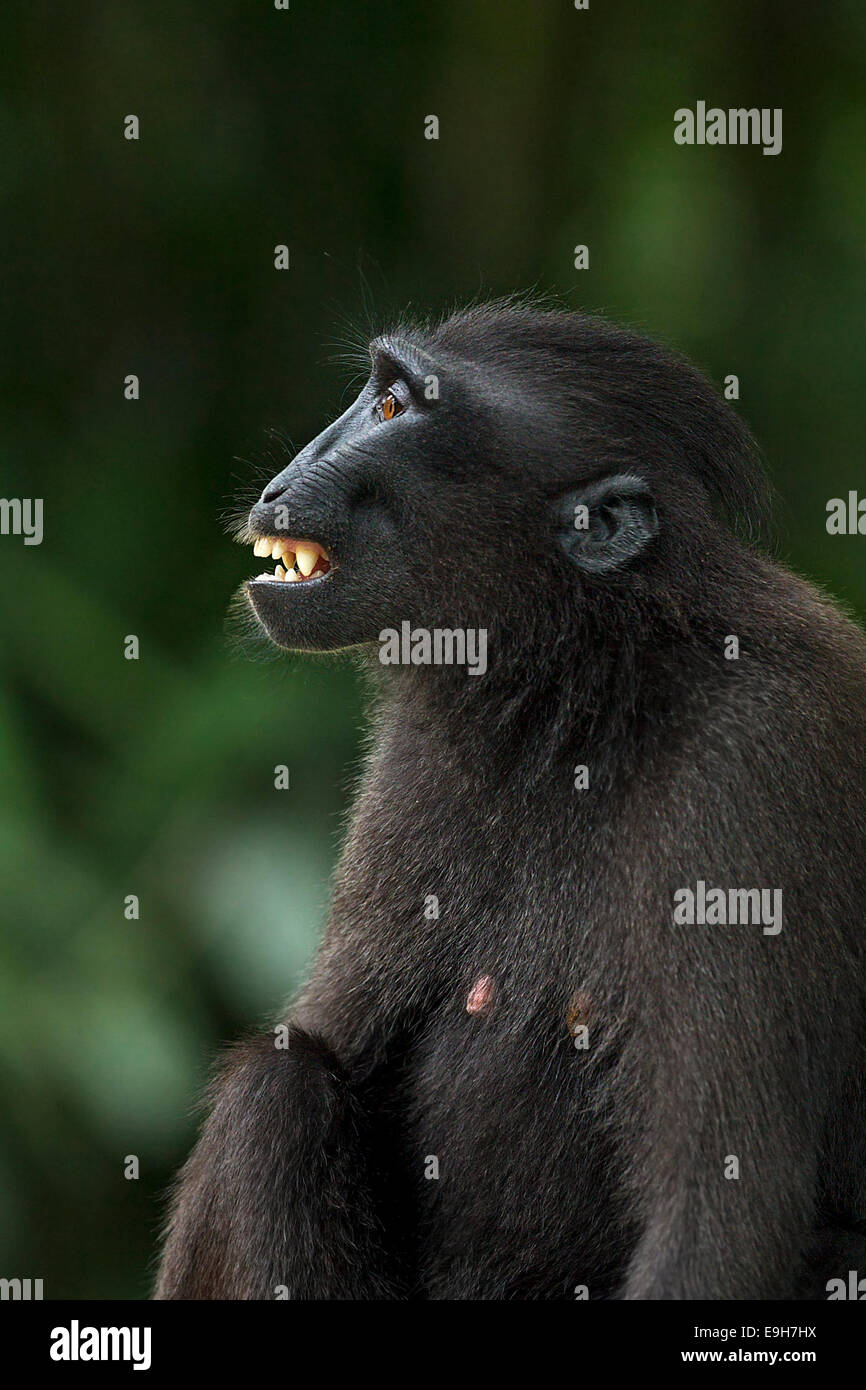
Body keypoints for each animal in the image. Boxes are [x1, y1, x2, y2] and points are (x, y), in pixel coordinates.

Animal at [155, 304, 866, 1301]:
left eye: (391, 407)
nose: (283, 478)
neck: (593, 685)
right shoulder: (418, 759)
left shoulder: (753, 758)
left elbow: (724, 1205)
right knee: (277, 1089)